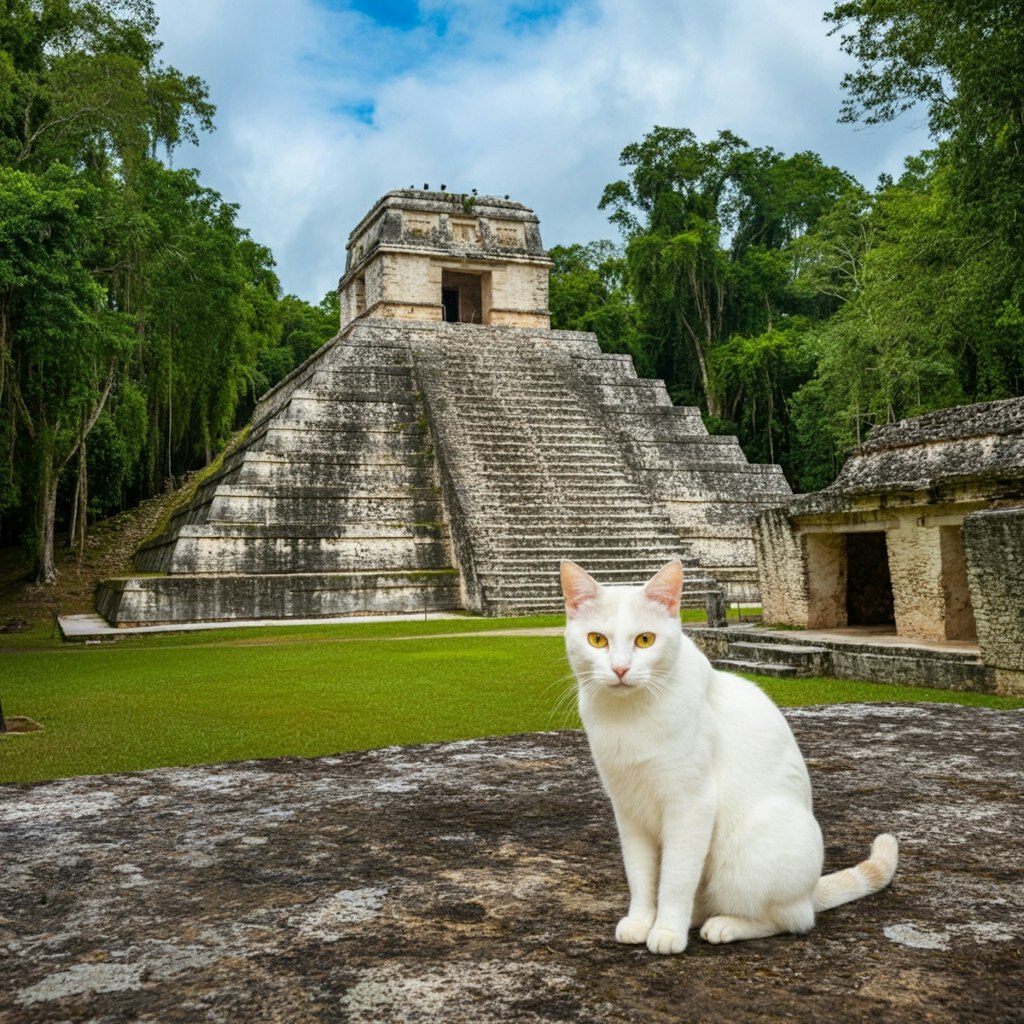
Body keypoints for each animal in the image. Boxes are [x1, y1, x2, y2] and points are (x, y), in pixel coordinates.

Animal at [561, 561, 897, 950]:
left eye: (645, 639)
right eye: (597, 640)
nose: (619, 669)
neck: (629, 718)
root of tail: (811, 890)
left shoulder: (691, 804)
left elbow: (676, 878)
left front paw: (667, 930)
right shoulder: (628, 809)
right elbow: (640, 875)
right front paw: (642, 920)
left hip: (746, 854)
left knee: (791, 919)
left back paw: (724, 925)